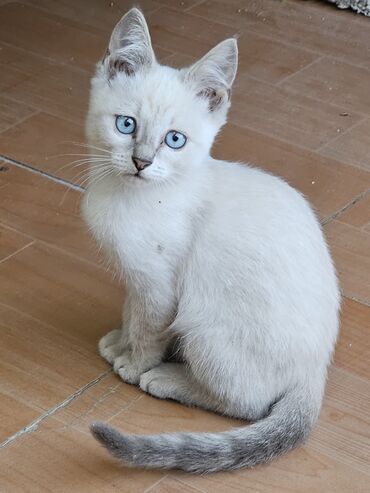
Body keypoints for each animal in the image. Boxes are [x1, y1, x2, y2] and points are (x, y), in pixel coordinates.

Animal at [82, 7, 340, 472]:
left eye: (174, 140)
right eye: (126, 125)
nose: (141, 161)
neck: (122, 196)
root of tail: (316, 372)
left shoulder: (159, 285)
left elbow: (148, 327)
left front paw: (134, 362)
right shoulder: (137, 277)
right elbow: (131, 311)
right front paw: (119, 341)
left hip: (203, 326)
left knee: (247, 404)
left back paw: (167, 379)